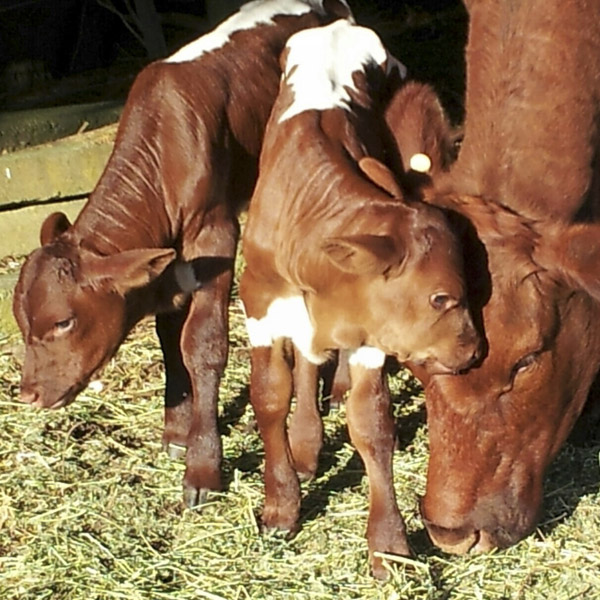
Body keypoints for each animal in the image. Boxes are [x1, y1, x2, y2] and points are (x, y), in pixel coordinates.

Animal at [11, 0, 354, 506]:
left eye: (63, 322)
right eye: (22, 322)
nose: (28, 394)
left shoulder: (215, 233)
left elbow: (202, 344)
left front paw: (203, 465)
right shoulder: (168, 258)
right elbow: (167, 334)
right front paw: (176, 429)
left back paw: (341, 388)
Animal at [241, 21, 480, 580]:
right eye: (441, 297)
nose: (474, 351)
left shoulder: (373, 331)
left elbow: (372, 426)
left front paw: (389, 545)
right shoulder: (260, 309)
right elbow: (269, 396)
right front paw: (280, 506)